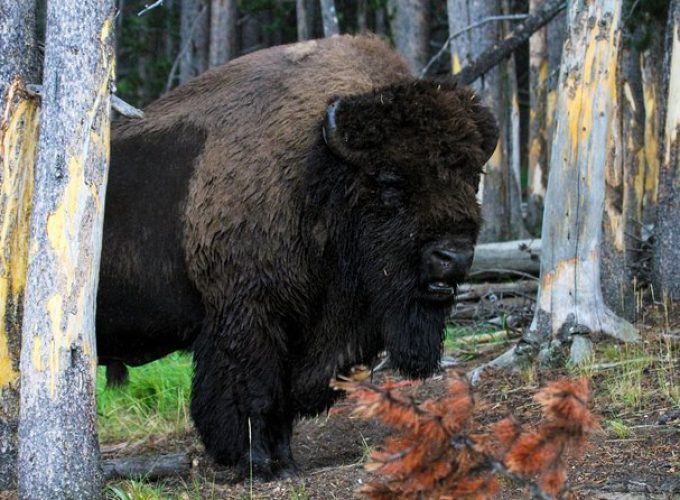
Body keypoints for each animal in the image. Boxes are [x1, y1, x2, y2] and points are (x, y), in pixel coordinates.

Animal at [97, 35, 500, 480]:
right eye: (390, 182)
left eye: (472, 178)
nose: (453, 256)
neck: (316, 174)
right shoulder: (248, 318)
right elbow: (255, 393)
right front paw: (258, 466)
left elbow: (286, 400)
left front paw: (288, 464)